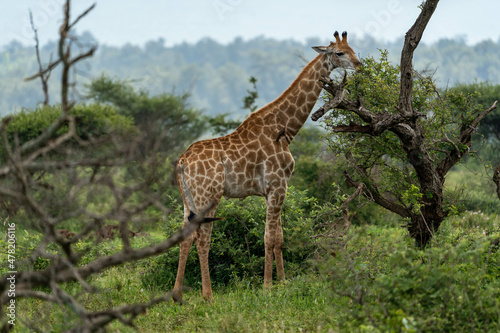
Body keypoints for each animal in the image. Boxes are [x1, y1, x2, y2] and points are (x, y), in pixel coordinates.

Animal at [174, 31, 362, 300]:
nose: (359, 65)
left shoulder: (276, 189)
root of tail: (181, 162)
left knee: (185, 238)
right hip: (207, 197)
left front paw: (282, 282)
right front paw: (267, 286)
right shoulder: (277, 185)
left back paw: (177, 294)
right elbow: (269, 238)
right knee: (203, 239)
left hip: (187, 200)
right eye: (339, 52)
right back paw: (207, 295)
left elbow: (280, 237)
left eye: (353, 49)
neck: (284, 129)